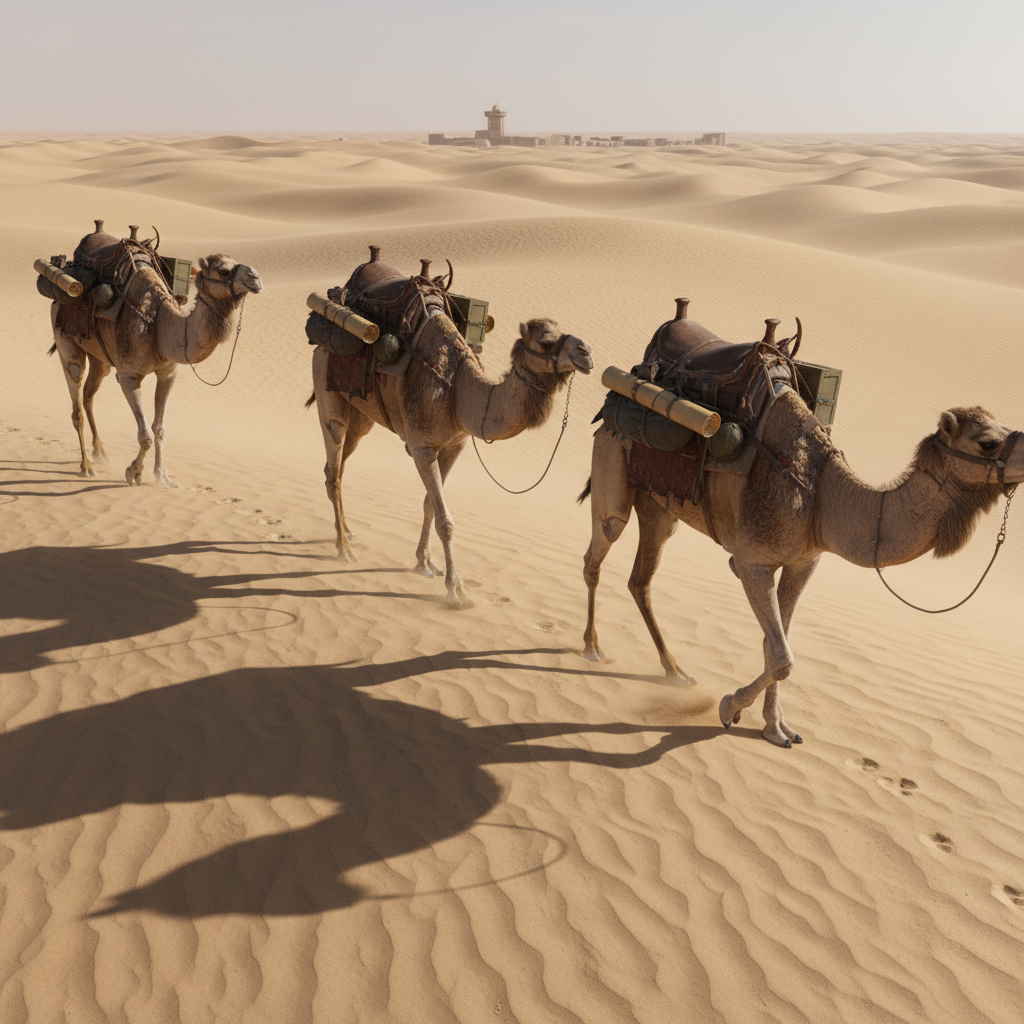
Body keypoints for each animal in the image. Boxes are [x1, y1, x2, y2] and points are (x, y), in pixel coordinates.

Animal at [48, 226, 262, 487]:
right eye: (223, 270)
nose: (255, 278)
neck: (159, 324)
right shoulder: (128, 376)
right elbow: (146, 435)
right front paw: (133, 471)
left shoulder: (168, 372)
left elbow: (159, 429)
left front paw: (163, 476)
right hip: (63, 333)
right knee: (76, 393)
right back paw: (86, 465)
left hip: (99, 354)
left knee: (89, 393)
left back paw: (100, 452)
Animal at [310, 283, 593, 608]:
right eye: (546, 342)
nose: (587, 353)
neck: (457, 389)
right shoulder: (422, 446)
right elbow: (445, 519)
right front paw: (456, 589)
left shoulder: (455, 445)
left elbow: (429, 506)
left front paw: (424, 562)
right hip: (327, 388)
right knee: (334, 463)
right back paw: (344, 549)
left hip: (362, 413)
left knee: (339, 466)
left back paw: (345, 531)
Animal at [581, 392, 1023, 747]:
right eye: (988, 442)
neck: (822, 498)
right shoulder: (752, 561)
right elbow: (782, 658)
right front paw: (728, 707)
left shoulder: (803, 563)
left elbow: (778, 643)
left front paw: (776, 728)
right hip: (612, 462)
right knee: (599, 549)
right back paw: (592, 647)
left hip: (660, 506)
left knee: (641, 579)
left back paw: (674, 671)